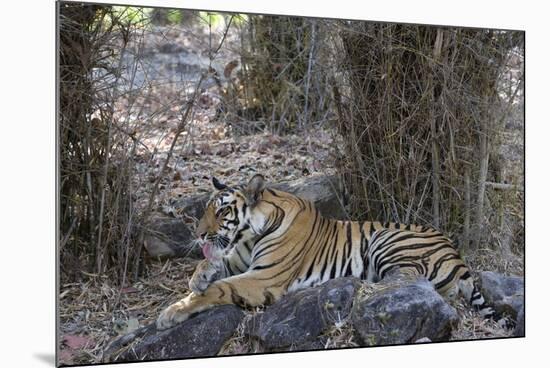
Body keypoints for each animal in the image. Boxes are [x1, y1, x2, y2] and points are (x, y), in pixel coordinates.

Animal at [157, 174, 498, 330]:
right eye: (205, 210)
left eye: (222, 211)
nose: (199, 233)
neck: (251, 235)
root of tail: (458, 255)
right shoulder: (240, 260)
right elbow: (214, 266)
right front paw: (197, 278)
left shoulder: (263, 278)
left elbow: (219, 289)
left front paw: (170, 313)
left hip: (387, 238)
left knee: (405, 279)